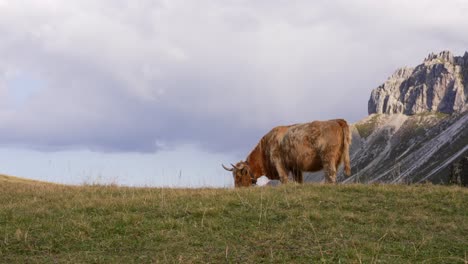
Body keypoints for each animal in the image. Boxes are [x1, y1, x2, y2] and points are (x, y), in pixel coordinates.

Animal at [223, 118, 352, 187]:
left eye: (238, 176)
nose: (237, 189)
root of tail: (335, 120)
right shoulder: (295, 167)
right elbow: (298, 181)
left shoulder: (279, 163)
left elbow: (284, 179)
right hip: (337, 159)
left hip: (328, 157)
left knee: (330, 173)